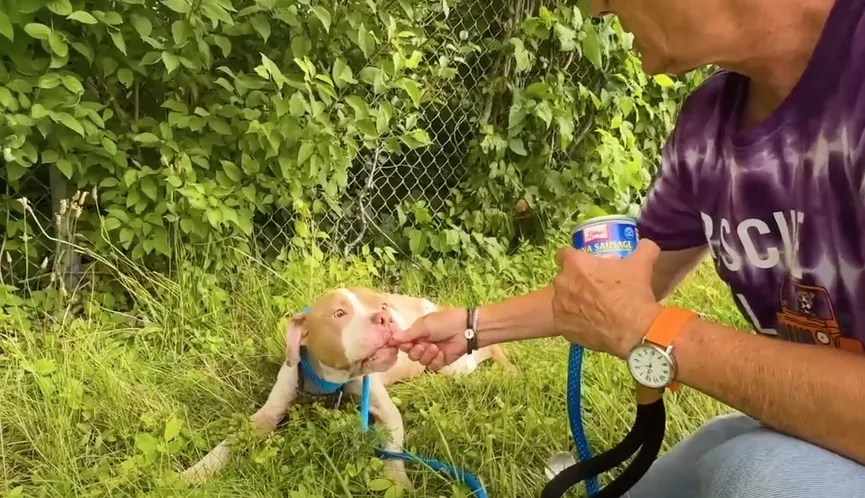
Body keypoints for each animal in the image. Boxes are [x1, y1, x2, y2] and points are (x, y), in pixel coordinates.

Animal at [181, 286, 512, 488]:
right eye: (339, 314)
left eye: (381, 305)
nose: (385, 317)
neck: (331, 380)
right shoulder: (269, 412)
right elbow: (231, 440)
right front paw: (194, 472)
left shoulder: (386, 412)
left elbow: (393, 452)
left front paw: (399, 484)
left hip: (454, 365)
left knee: (485, 349)